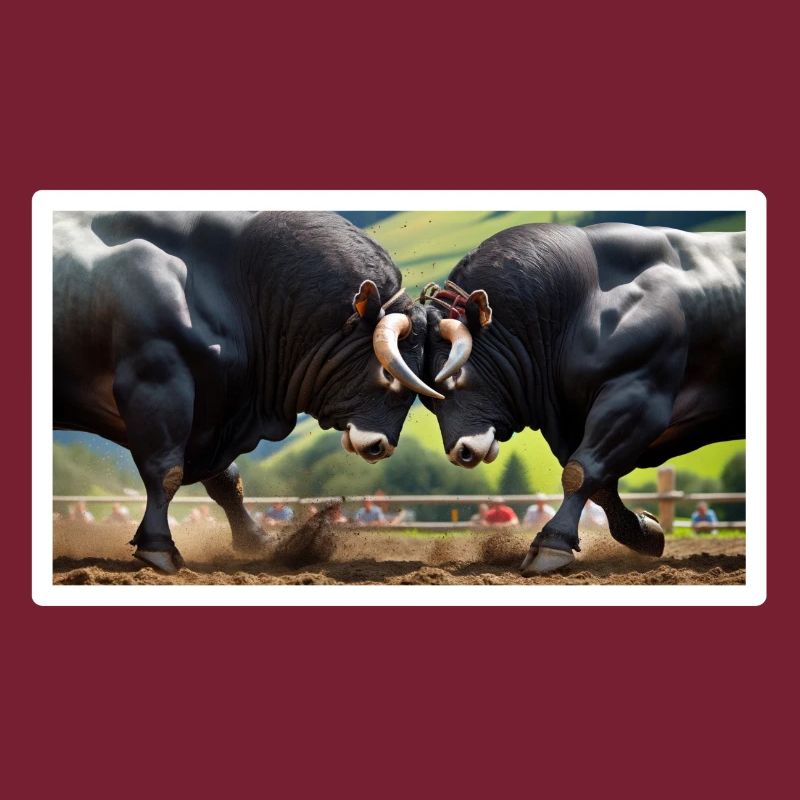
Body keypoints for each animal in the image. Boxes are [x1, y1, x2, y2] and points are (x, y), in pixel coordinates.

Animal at [54, 210, 443, 573]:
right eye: (388, 371)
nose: (381, 446)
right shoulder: (156, 382)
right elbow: (165, 470)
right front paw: (158, 548)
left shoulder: (215, 409)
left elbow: (227, 482)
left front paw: (256, 540)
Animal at [420, 222, 745, 575]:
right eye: (428, 400)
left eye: (455, 374)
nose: (461, 452)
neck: (582, 304)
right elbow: (599, 484)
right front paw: (644, 532)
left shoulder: (637, 397)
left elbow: (580, 472)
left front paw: (552, 543)